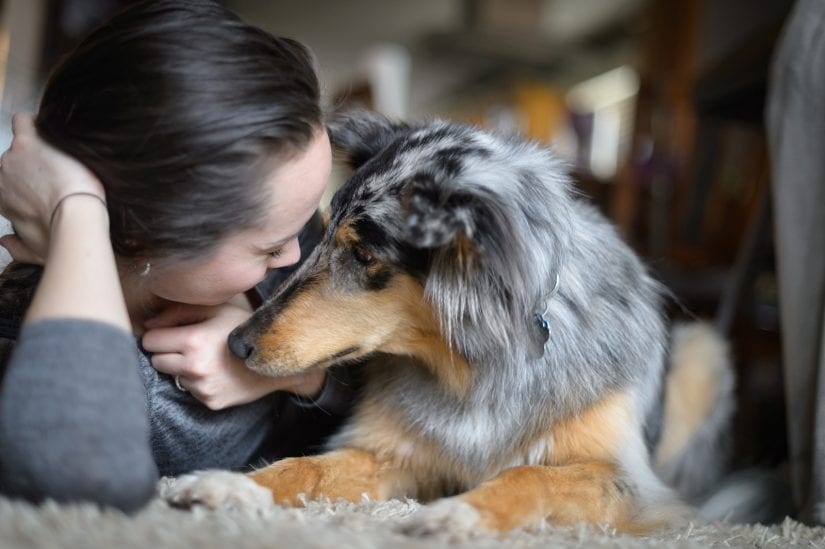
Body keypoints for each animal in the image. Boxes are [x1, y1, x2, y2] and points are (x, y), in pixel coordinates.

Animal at [164, 109, 732, 532]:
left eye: (364, 255)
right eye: (321, 232)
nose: (235, 343)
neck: (470, 366)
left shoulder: (628, 481)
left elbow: (531, 476)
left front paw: (461, 513)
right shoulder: (390, 452)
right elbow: (305, 468)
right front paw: (232, 485)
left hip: (701, 349)